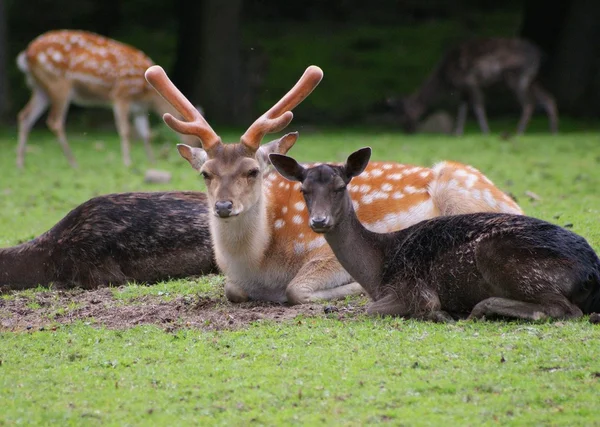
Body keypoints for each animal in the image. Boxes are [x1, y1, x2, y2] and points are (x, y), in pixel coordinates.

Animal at [16, 28, 202, 169]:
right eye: (193, 138)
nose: (195, 151)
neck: (146, 94)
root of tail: (26, 55)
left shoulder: (139, 108)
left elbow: (146, 134)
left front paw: (152, 162)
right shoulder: (121, 95)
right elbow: (125, 130)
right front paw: (127, 162)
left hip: (41, 88)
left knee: (25, 116)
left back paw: (21, 164)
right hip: (59, 84)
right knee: (55, 121)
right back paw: (73, 162)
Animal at [144, 63, 524, 306]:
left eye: (252, 171)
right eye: (205, 173)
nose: (223, 206)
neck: (259, 263)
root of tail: (513, 202)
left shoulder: (324, 251)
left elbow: (297, 290)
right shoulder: (235, 282)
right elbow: (231, 290)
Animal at [270, 149, 600, 322]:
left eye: (340, 187)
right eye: (304, 190)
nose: (319, 220)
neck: (376, 271)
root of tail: (591, 271)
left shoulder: (413, 289)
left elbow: (376, 308)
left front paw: (440, 313)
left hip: (507, 262)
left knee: (562, 309)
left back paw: (476, 309)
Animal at [386, 38, 560, 136]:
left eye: (405, 113)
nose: (407, 131)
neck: (445, 77)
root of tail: (540, 54)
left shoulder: (470, 82)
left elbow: (477, 106)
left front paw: (485, 131)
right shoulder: (463, 89)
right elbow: (462, 109)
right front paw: (457, 133)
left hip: (517, 76)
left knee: (529, 103)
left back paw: (519, 131)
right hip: (532, 78)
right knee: (548, 98)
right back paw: (553, 131)